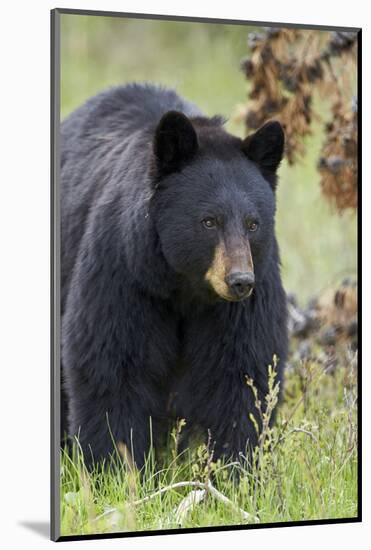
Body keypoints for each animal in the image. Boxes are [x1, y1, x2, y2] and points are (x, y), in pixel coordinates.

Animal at [60, 83, 288, 470]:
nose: (240, 281)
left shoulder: (246, 300)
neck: (185, 286)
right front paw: (115, 467)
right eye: (209, 221)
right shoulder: (125, 273)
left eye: (252, 223)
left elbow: (242, 375)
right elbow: (113, 365)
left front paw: (235, 469)